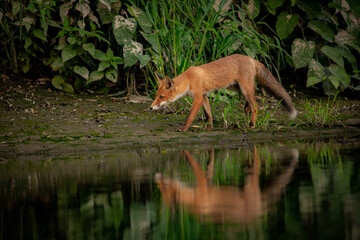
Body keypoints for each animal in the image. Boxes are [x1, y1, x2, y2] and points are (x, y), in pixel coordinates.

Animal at [150, 54, 296, 131]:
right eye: (156, 96)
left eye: (161, 97)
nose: (150, 108)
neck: (188, 79)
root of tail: (250, 58)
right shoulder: (204, 96)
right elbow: (208, 113)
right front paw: (209, 126)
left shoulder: (198, 97)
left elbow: (189, 116)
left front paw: (184, 128)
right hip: (237, 87)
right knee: (253, 97)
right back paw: (247, 109)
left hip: (243, 88)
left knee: (255, 105)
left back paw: (252, 125)